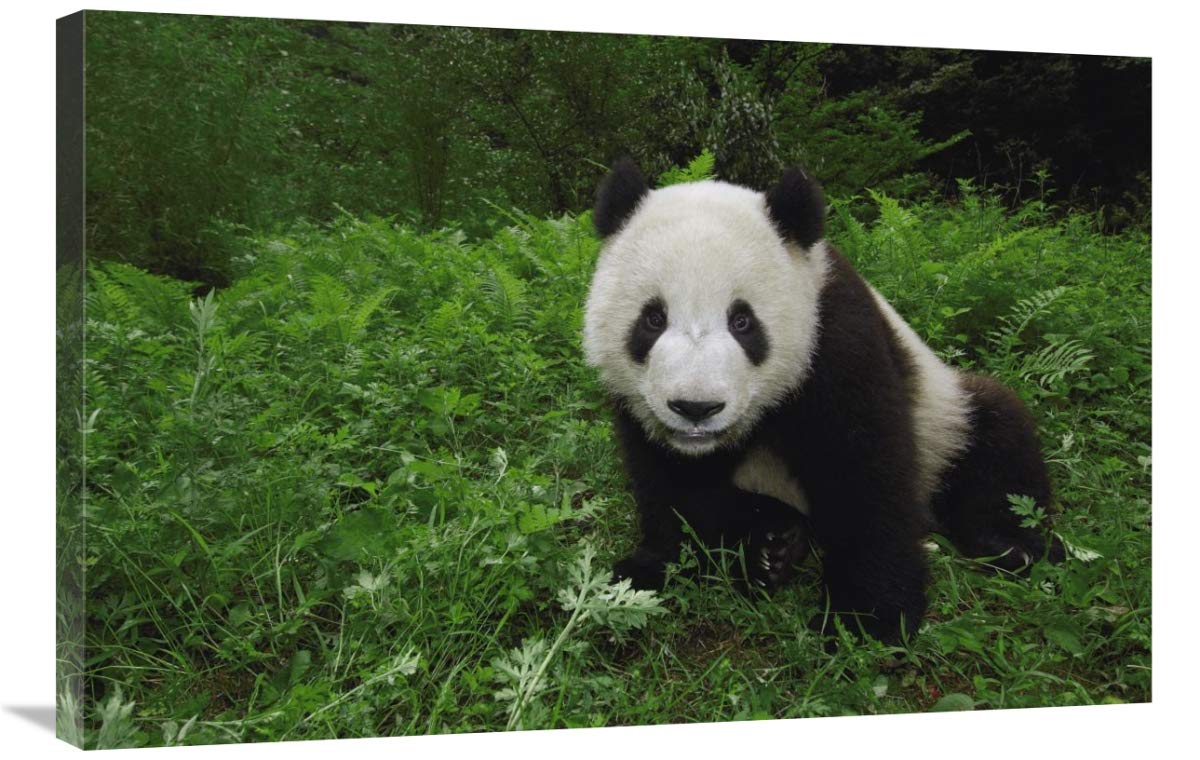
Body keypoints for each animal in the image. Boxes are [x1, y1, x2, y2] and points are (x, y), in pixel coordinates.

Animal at [583, 159, 1063, 644]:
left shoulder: (834, 338)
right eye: (652, 319)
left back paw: (1009, 545)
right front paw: (646, 573)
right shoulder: (640, 410)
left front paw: (866, 620)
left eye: (743, 322)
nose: (696, 407)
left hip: (943, 414)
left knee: (997, 433)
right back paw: (773, 546)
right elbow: (670, 486)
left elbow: (865, 478)